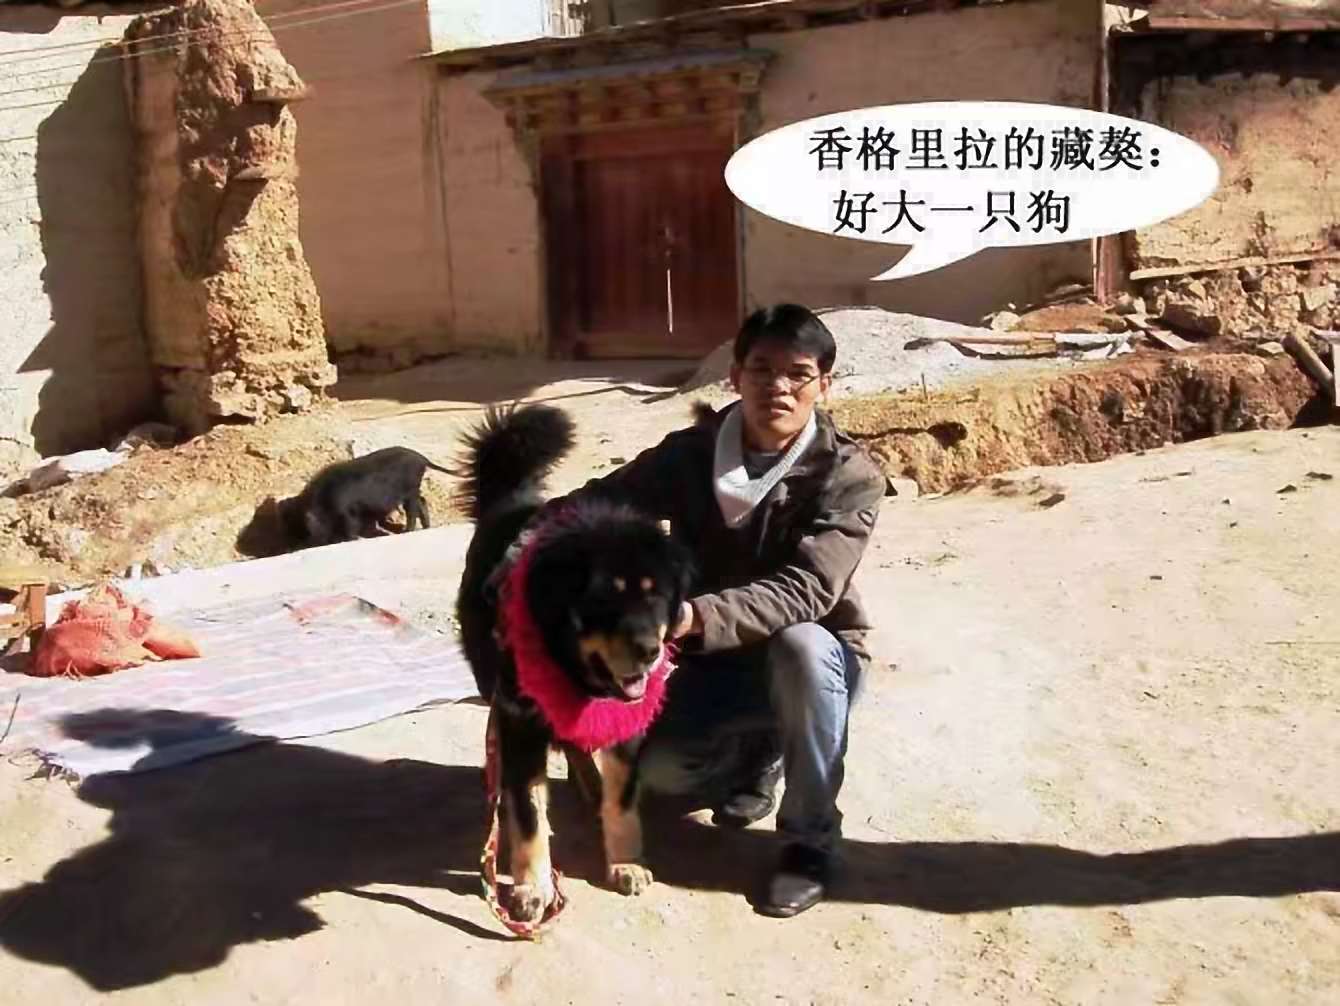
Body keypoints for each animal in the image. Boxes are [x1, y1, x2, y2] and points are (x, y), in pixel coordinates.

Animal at [278, 446, 454, 548]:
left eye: (305, 531)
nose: (291, 547)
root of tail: (422, 458)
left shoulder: (347, 512)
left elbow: (351, 529)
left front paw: (350, 539)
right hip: (414, 490)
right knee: (422, 502)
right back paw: (425, 528)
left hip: (410, 490)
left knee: (412, 509)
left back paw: (407, 531)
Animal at [454, 402, 694, 924]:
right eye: (606, 600)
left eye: (656, 595)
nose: (650, 649)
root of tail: (513, 496)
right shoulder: (521, 719)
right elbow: (528, 813)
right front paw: (532, 888)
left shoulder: (626, 718)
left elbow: (623, 797)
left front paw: (625, 862)